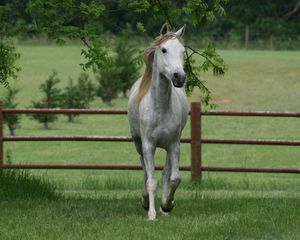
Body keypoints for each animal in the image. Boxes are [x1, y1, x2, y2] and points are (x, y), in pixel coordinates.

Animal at [127, 23, 189, 219]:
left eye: (183, 51)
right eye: (164, 49)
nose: (179, 77)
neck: (160, 108)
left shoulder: (174, 144)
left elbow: (174, 178)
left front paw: (166, 206)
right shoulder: (148, 145)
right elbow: (151, 180)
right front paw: (151, 214)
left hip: (169, 147)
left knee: (165, 174)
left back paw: (163, 209)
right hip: (138, 144)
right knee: (145, 171)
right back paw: (146, 201)